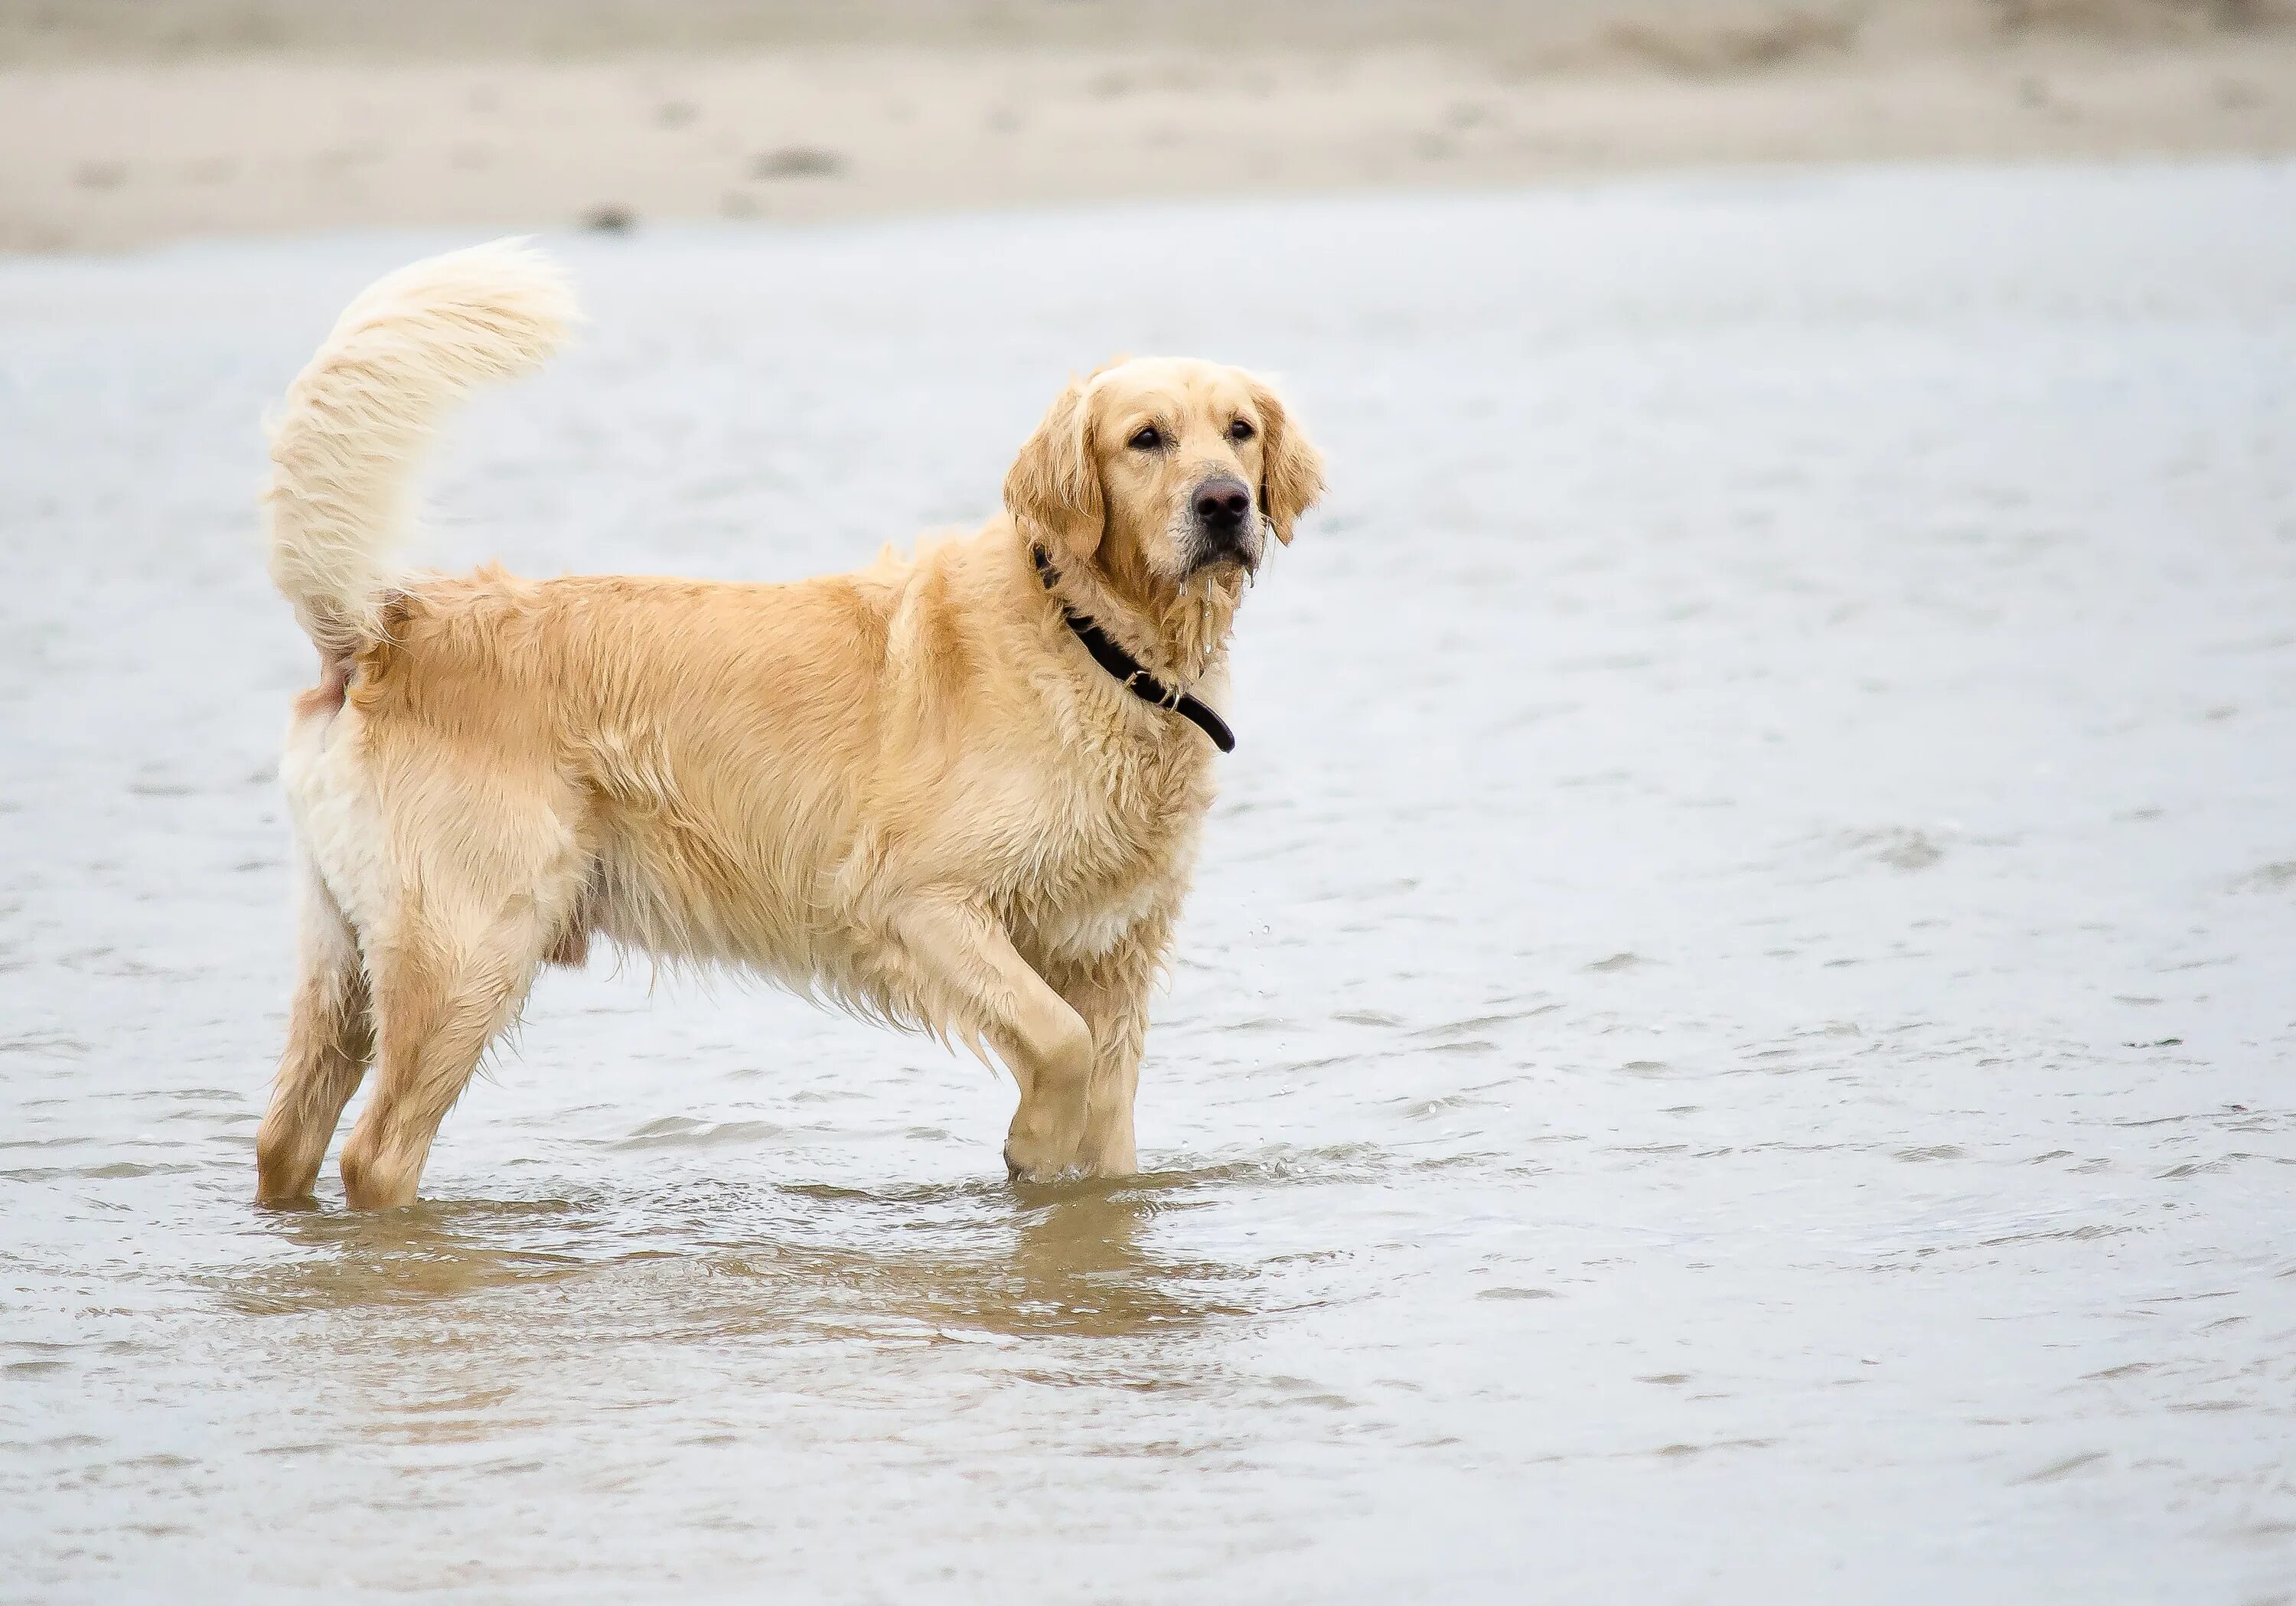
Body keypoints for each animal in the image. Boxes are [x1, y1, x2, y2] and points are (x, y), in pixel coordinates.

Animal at [246, 242, 1332, 1203]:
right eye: (1146, 438)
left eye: (1239, 430)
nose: (1225, 503)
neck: (1098, 642)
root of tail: (384, 628)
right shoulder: (917, 898)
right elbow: (1058, 1042)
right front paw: (1031, 1142)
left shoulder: (1114, 953)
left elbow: (1109, 1136)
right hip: (472, 947)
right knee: (376, 1154)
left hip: (348, 962)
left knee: (285, 1139)